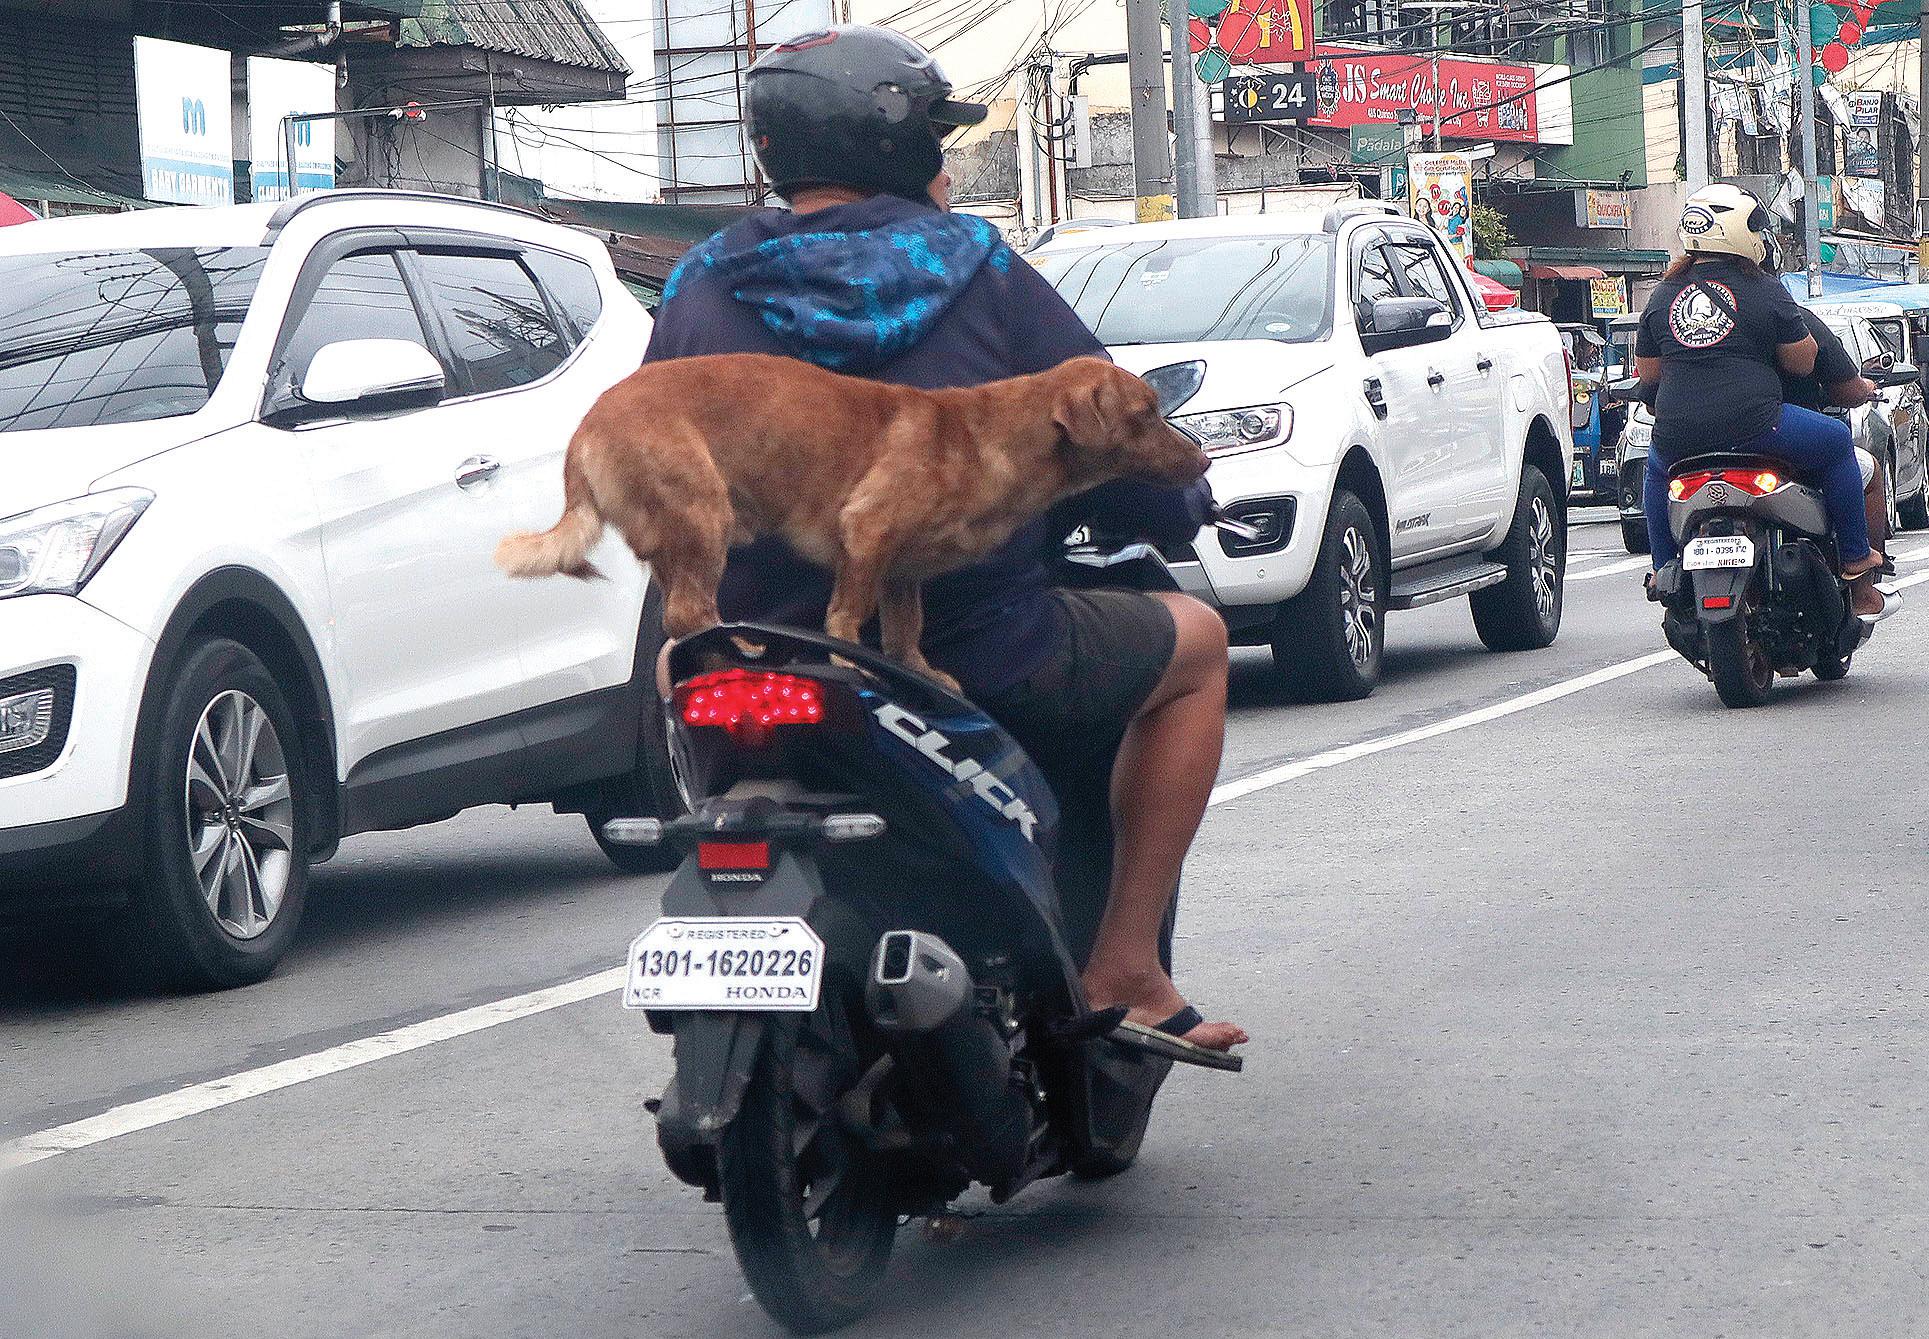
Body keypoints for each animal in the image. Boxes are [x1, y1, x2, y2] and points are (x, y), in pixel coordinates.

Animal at [494, 352, 1210, 688]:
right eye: (1147, 414)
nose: (1203, 458)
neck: (987, 439)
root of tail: (585, 428)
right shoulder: (866, 534)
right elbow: (845, 621)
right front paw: (851, 662)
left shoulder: (901, 571)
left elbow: (904, 633)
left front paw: (916, 672)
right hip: (703, 515)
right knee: (687, 614)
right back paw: (741, 648)